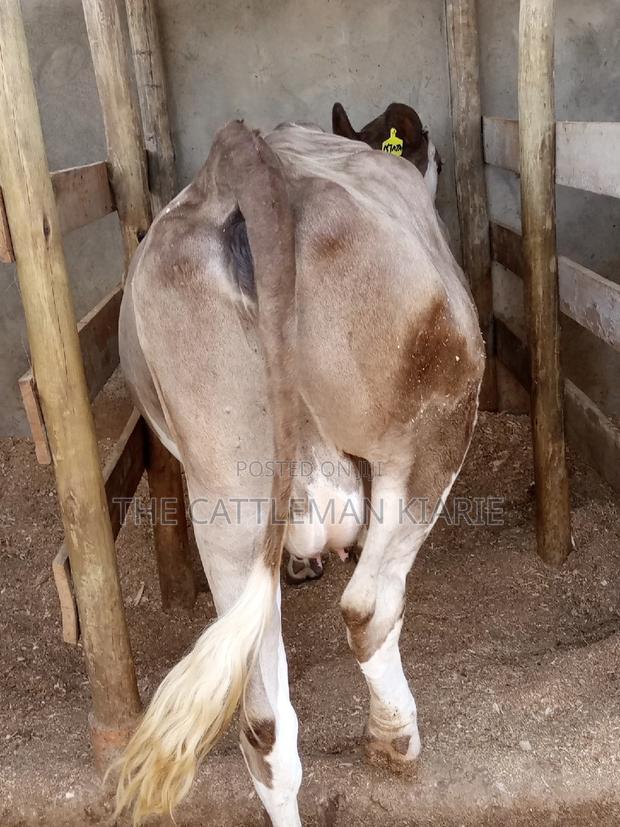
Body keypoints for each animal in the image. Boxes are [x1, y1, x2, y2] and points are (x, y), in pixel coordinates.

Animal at [114, 107, 484, 827]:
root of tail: (240, 157)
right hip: (433, 423)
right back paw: (397, 738)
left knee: (263, 724)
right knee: (369, 606)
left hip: (227, 490)